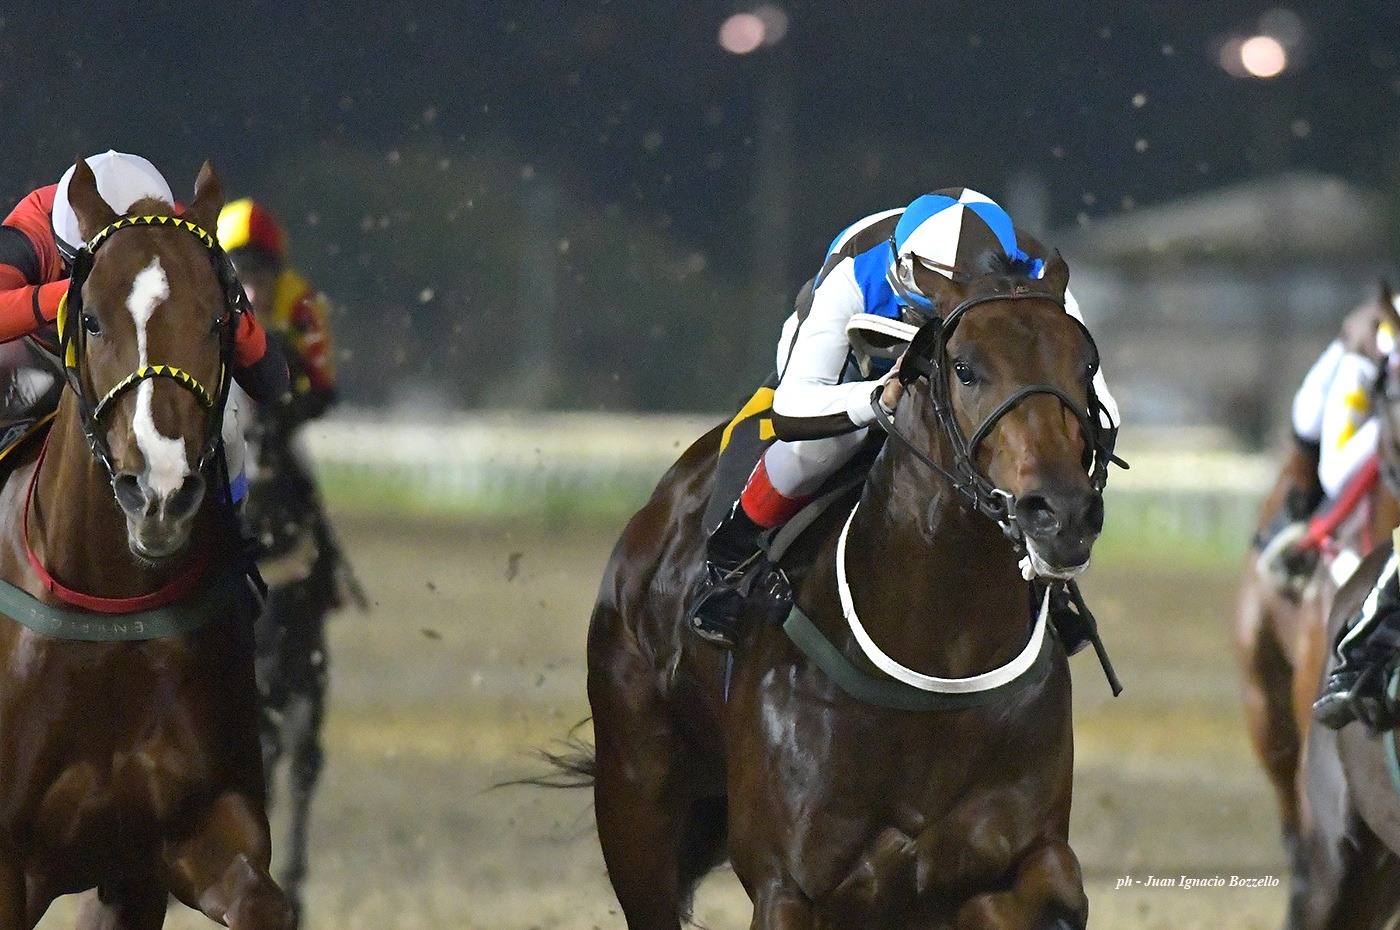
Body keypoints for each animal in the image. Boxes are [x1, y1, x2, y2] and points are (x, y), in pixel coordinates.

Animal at [0, 159, 294, 930]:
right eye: (92, 318)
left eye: (220, 321)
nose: (157, 492)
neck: (108, 605)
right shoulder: (9, 866)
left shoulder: (178, 843)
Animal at [585, 252, 1115, 930]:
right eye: (965, 368)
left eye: (1086, 366)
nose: (1063, 514)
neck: (937, 659)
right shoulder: (790, 886)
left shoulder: (1011, 863)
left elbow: (1054, 886)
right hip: (635, 804)